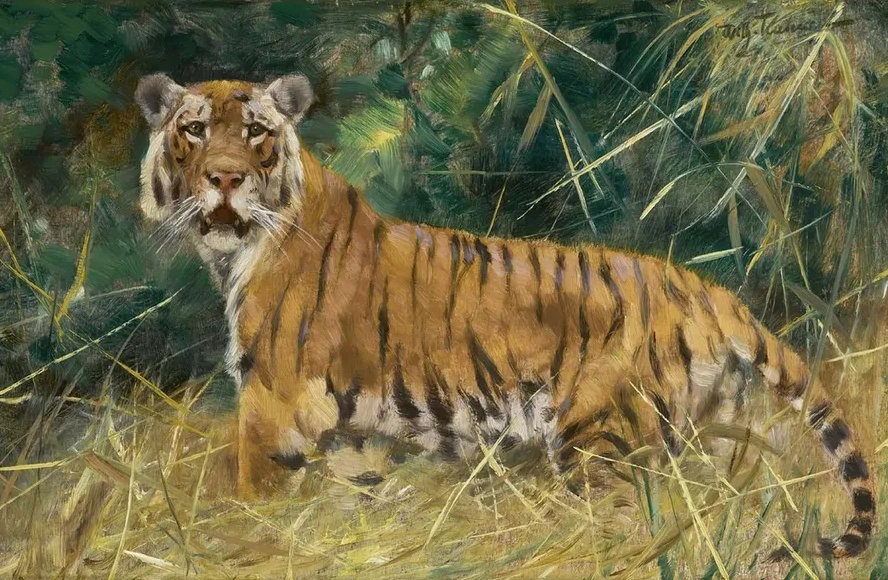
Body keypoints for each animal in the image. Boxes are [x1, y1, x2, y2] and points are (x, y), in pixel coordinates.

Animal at [135, 72, 875, 559]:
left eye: (255, 133)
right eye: (194, 130)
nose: (224, 179)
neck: (237, 252)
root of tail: (708, 291)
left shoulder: (273, 406)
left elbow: (252, 499)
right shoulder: (353, 435)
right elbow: (352, 501)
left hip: (600, 441)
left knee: (629, 528)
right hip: (711, 436)